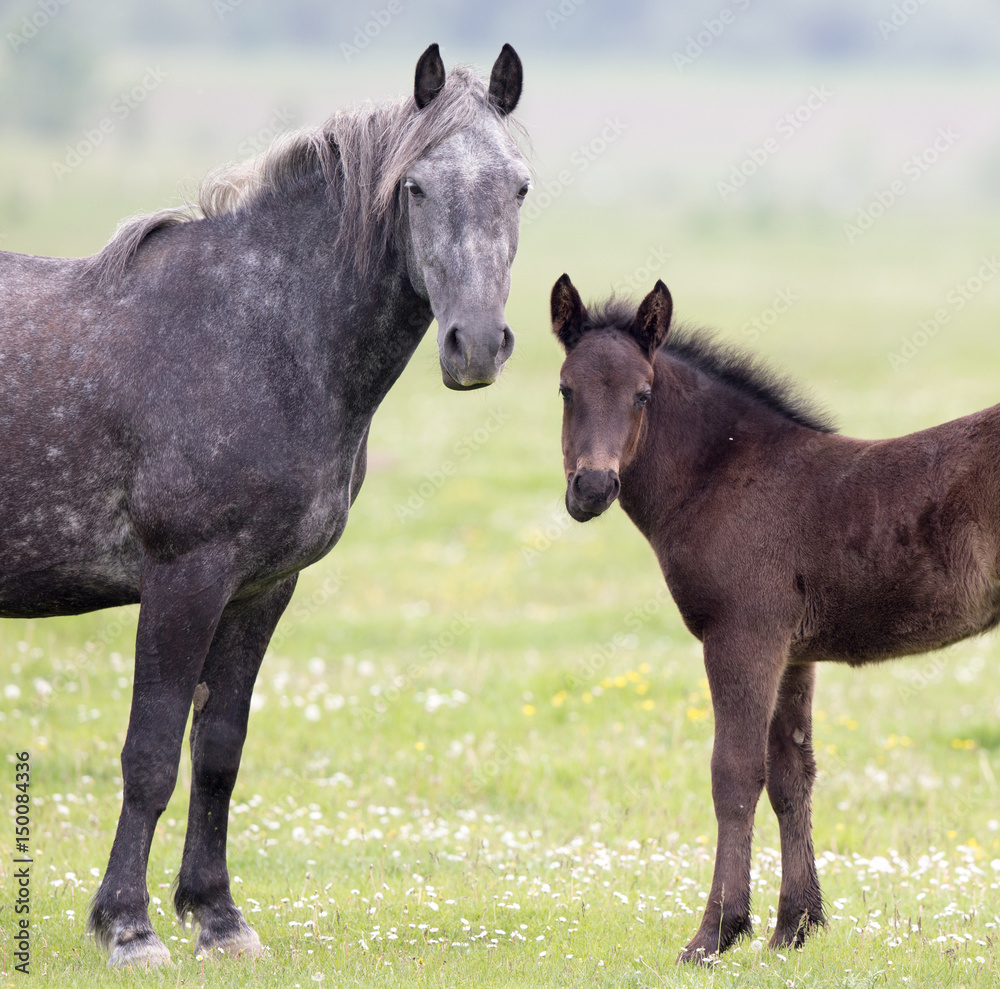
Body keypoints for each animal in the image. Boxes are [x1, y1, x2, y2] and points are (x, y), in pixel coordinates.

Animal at [0, 42, 532, 960]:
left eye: (520, 186)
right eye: (415, 187)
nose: (474, 345)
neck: (260, 331)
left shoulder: (261, 586)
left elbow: (218, 750)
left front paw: (217, 916)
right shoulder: (183, 580)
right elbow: (150, 753)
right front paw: (128, 925)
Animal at [552, 274, 1000, 960]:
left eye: (642, 394)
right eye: (565, 388)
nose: (592, 489)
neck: (724, 474)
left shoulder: (742, 636)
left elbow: (734, 775)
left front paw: (715, 933)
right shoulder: (793, 652)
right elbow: (793, 775)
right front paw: (795, 926)